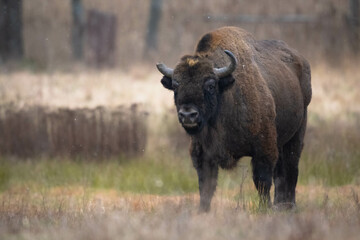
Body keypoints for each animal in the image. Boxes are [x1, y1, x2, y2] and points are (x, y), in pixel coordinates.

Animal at [156, 26, 310, 212]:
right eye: (175, 85)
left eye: (210, 85)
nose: (187, 115)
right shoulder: (203, 155)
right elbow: (206, 186)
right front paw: (202, 210)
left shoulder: (263, 150)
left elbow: (262, 181)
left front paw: (264, 208)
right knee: (281, 172)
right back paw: (281, 205)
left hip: (297, 134)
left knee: (291, 168)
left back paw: (289, 206)